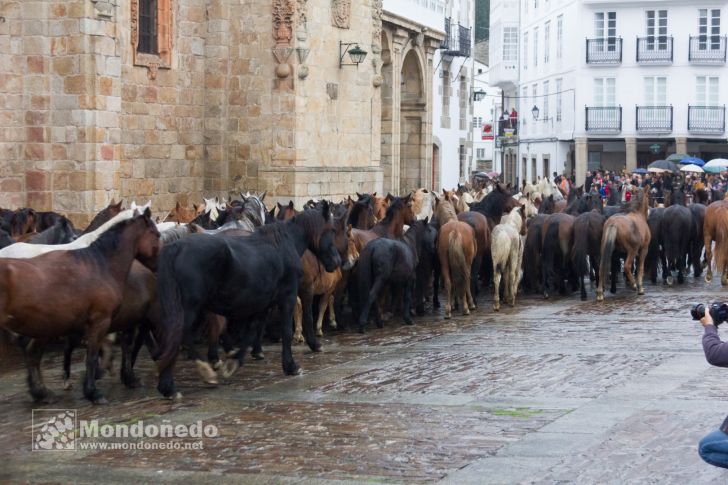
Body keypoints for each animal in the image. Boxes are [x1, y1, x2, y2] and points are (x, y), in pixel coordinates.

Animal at [0, 210, 159, 402]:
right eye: (156, 234)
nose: (157, 266)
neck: (100, 264)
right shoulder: (100, 321)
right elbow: (92, 355)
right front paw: (93, 391)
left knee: (33, 354)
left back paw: (42, 392)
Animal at [154, 201, 342, 398]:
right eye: (332, 229)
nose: (337, 261)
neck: (284, 244)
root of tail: (175, 248)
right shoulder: (288, 297)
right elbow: (286, 330)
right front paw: (291, 365)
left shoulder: (263, 302)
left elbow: (251, 332)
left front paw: (234, 362)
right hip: (190, 306)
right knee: (180, 334)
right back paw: (181, 381)